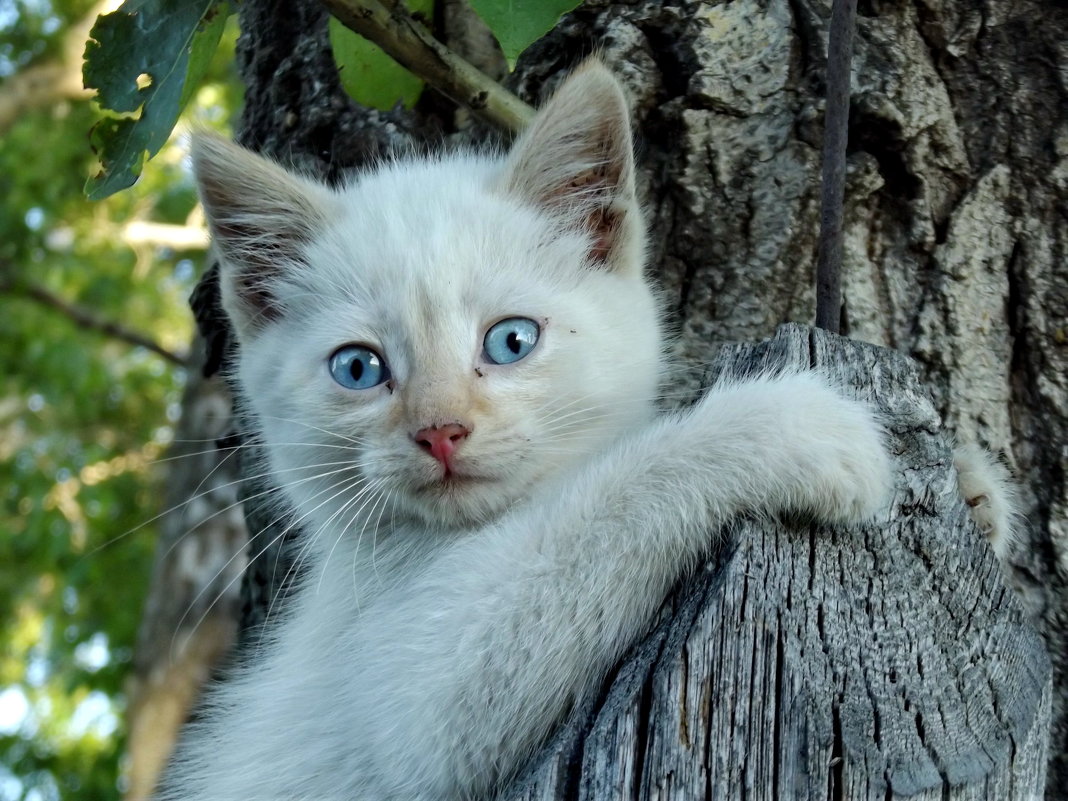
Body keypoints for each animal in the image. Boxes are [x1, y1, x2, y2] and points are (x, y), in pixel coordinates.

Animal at [158, 64, 892, 801]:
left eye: (511, 341)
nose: (441, 431)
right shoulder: (408, 707)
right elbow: (607, 500)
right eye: (358, 368)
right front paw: (790, 424)